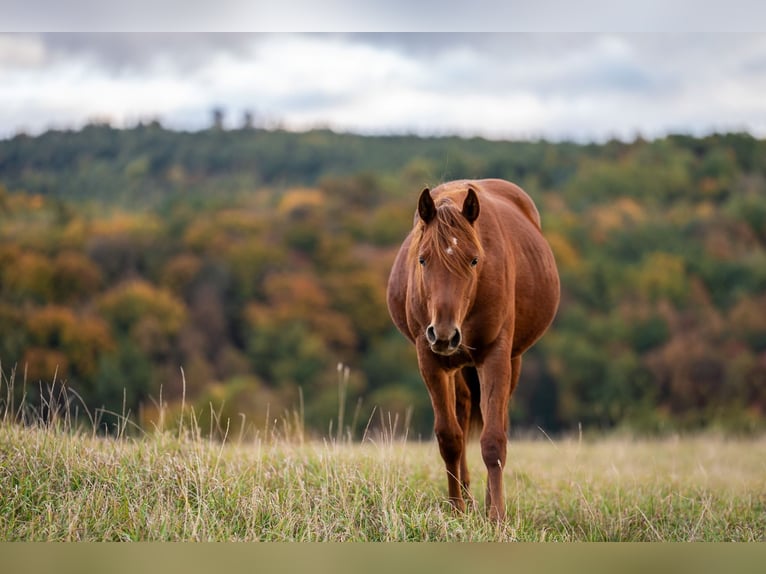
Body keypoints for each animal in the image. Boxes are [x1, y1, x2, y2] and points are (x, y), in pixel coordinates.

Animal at [386, 178, 560, 522]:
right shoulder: (430, 360)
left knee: (495, 422)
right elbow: (450, 438)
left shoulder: (495, 356)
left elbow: (493, 441)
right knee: (463, 413)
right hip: (456, 365)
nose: (444, 333)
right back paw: (466, 497)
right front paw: (456, 510)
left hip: (512, 360)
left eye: (474, 260)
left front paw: (497, 518)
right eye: (422, 259)